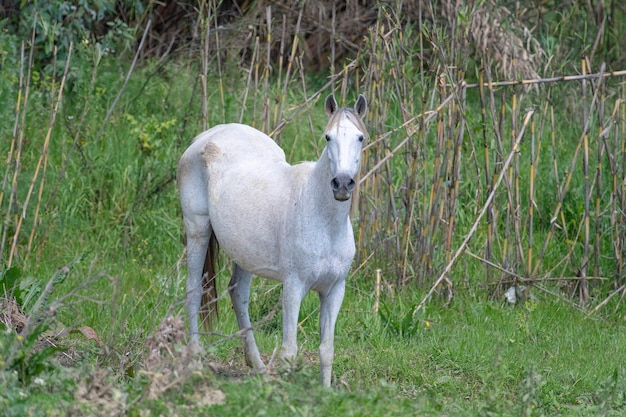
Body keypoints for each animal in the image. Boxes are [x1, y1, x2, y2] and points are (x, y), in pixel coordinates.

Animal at [176, 92, 366, 386]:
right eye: (328, 137)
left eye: (360, 138)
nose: (342, 184)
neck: (324, 220)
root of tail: (205, 136)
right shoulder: (294, 287)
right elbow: (290, 351)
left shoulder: (334, 290)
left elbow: (327, 349)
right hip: (198, 229)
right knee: (194, 291)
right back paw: (196, 363)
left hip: (244, 254)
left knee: (238, 295)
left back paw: (258, 366)